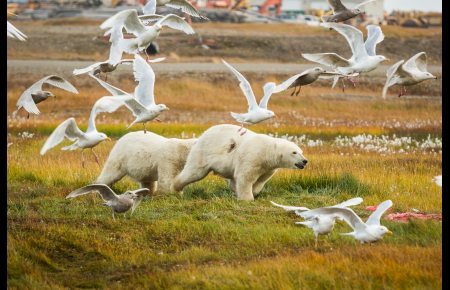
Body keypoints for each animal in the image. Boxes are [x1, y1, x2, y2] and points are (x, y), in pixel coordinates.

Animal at [171, 123, 308, 201]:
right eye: (294, 152)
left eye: (301, 151)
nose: (305, 161)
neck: (267, 152)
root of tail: (203, 135)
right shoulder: (253, 156)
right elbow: (245, 177)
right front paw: (248, 198)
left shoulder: (268, 168)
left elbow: (260, 180)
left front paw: (251, 192)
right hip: (204, 153)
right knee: (194, 172)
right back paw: (176, 187)